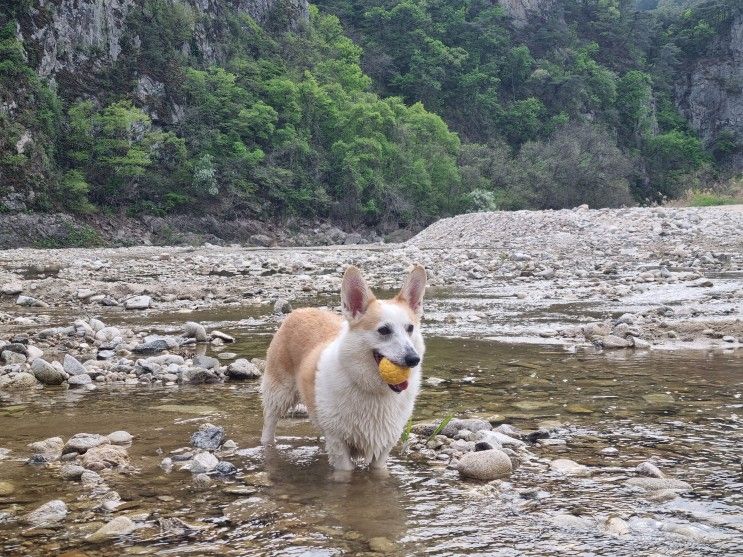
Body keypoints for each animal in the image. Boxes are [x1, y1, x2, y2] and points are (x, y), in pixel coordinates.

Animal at [262, 264, 428, 470]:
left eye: (410, 328)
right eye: (384, 330)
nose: (414, 359)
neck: (373, 390)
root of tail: (299, 310)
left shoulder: (383, 448)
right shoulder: (339, 445)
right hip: (278, 395)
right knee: (269, 423)